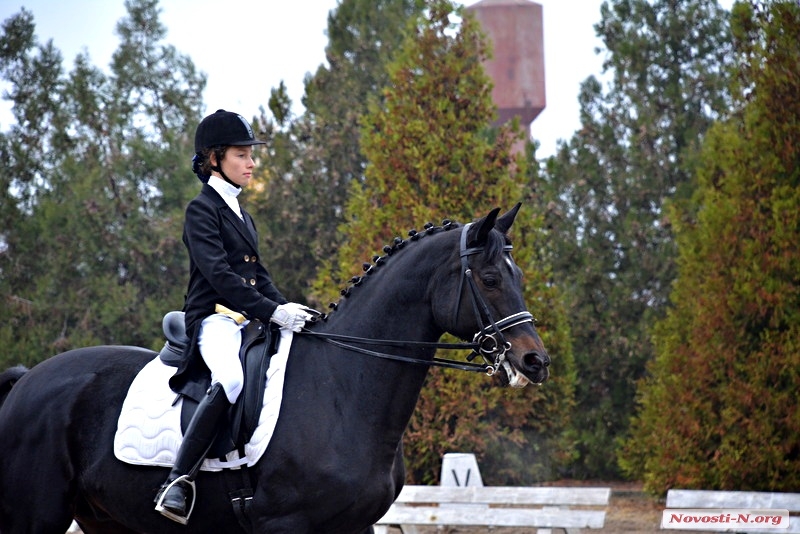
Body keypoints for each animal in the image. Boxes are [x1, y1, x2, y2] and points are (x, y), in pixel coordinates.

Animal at [0, 206, 552, 534]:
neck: (343, 388)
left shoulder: (354, 526)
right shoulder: (286, 526)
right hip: (37, 514)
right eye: (489, 278)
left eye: (519, 275)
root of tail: (26, 380)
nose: (536, 361)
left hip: (108, 518)